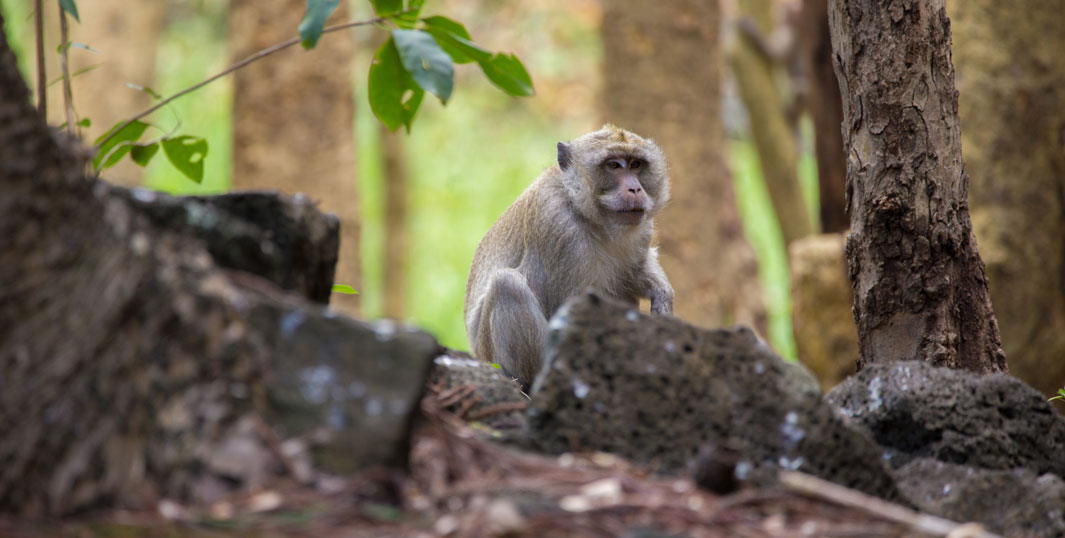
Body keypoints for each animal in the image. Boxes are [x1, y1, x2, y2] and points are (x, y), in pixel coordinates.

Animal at [463, 124, 674, 388]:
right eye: (614, 165)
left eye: (636, 164)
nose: (635, 189)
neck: (586, 213)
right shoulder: (558, 227)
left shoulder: (642, 229)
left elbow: (633, 270)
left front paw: (662, 294)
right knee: (507, 285)